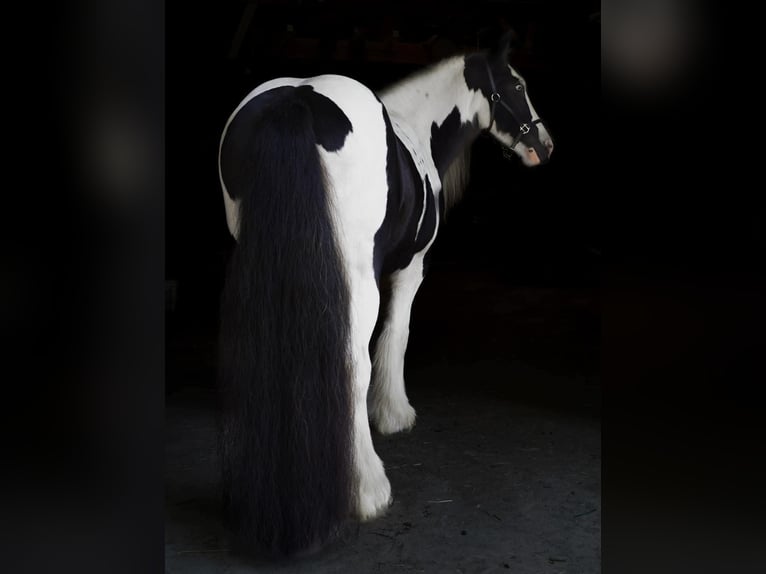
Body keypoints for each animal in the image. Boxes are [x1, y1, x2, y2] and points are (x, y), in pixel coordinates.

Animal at [219, 30, 556, 560]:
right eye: (518, 85)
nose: (545, 145)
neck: (415, 131)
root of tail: (298, 100)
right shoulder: (409, 269)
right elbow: (397, 334)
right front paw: (394, 413)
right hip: (355, 277)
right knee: (352, 362)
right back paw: (368, 489)